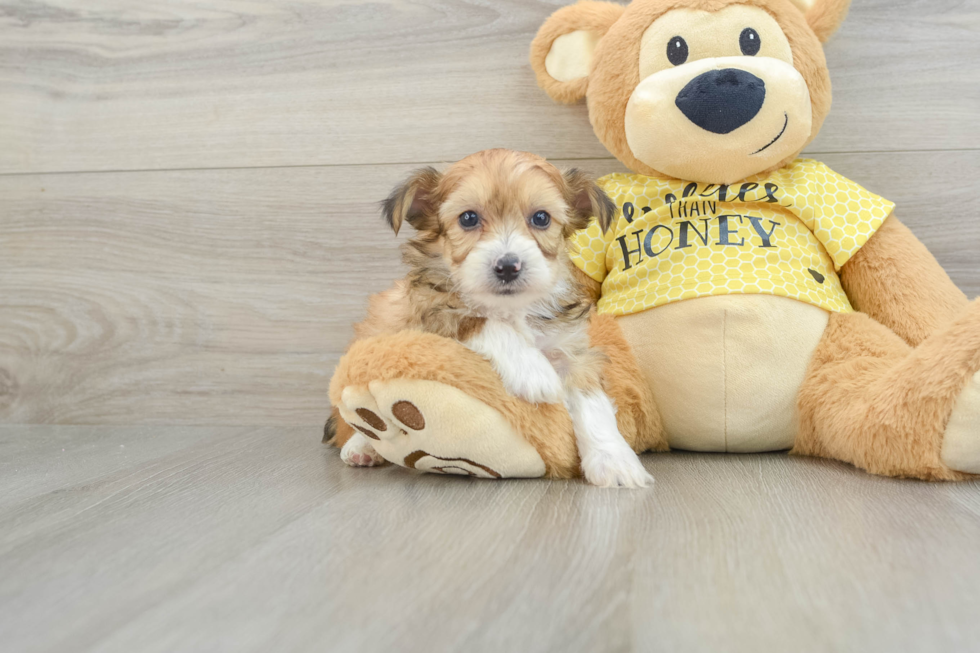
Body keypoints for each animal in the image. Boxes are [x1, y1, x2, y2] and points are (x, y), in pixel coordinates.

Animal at [334, 146, 652, 484]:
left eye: (541, 218)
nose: (508, 266)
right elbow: (481, 320)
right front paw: (533, 371)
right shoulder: (430, 314)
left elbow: (593, 404)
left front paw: (614, 461)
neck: (512, 308)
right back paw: (361, 445)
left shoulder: (572, 350)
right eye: (468, 218)